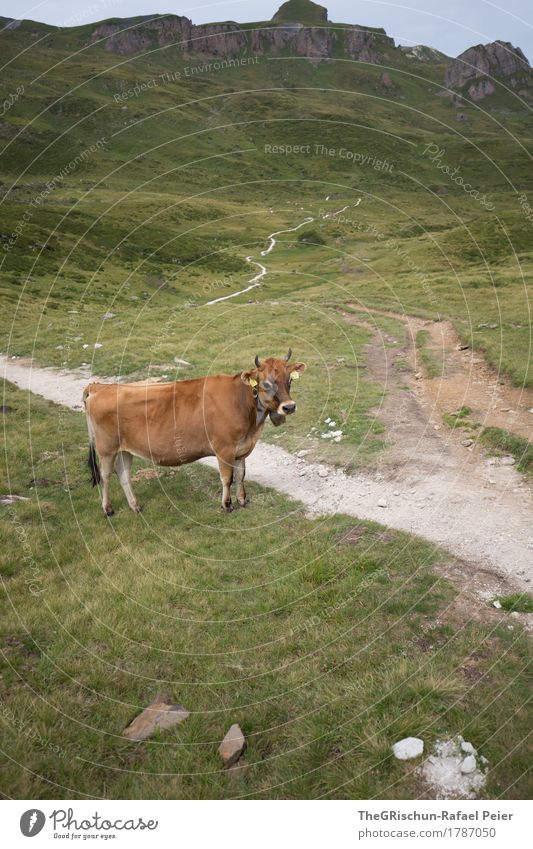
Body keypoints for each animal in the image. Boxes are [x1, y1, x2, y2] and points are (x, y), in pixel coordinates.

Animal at [84, 348, 306, 512]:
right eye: (266, 383)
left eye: (290, 379)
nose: (289, 407)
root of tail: (100, 387)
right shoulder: (224, 448)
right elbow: (227, 478)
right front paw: (227, 505)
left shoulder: (242, 448)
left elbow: (241, 474)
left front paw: (243, 500)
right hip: (106, 448)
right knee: (105, 475)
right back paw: (108, 509)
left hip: (124, 449)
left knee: (123, 474)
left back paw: (135, 506)